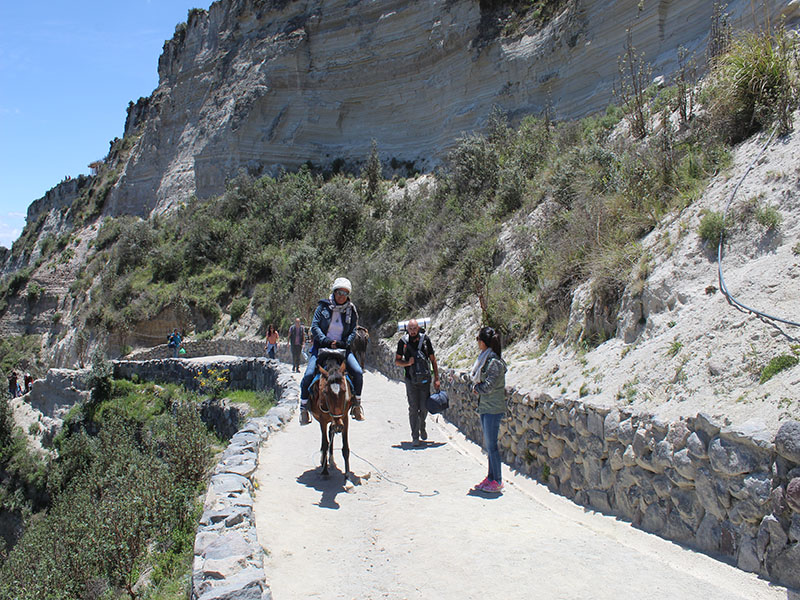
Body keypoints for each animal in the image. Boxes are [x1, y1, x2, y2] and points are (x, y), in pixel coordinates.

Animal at [308, 350, 352, 480]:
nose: (338, 426)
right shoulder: (322, 420)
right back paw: (324, 462)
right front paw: (324, 471)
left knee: (330, 433)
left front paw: (347, 474)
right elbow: (325, 444)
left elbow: (345, 447)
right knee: (326, 439)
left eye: (344, 391)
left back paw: (331, 461)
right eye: (325, 392)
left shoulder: (344, 418)